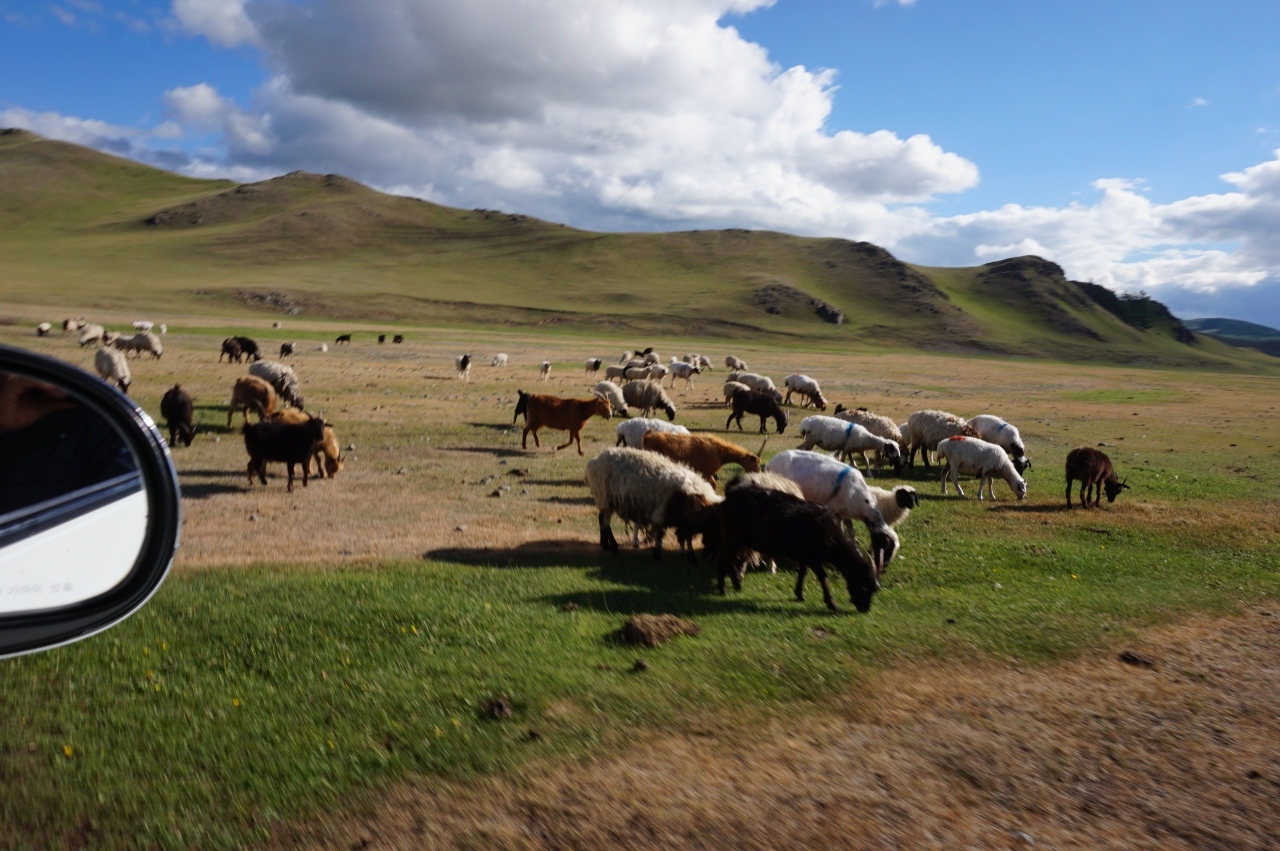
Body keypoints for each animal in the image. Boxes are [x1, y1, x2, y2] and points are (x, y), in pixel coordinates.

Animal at [586, 445, 727, 557]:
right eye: (716, 527)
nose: (713, 555)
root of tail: (594, 461)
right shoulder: (660, 514)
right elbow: (660, 534)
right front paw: (658, 551)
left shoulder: (682, 519)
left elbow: (683, 535)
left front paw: (683, 551)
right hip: (605, 497)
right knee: (604, 521)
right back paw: (614, 548)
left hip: (604, 500)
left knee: (601, 519)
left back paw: (605, 545)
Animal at [711, 483, 880, 611]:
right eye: (865, 586)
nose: (864, 609)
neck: (829, 533)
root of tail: (726, 500)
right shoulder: (812, 558)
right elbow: (823, 577)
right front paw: (831, 603)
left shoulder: (803, 556)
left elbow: (802, 572)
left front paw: (799, 594)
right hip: (733, 536)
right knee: (722, 559)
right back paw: (724, 589)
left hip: (735, 539)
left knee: (727, 559)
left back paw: (736, 584)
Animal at [762, 445, 896, 570]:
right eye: (886, 546)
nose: (884, 567)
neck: (862, 501)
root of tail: (770, 463)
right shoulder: (832, 510)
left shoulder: (844, 513)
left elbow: (851, 531)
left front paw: (855, 551)